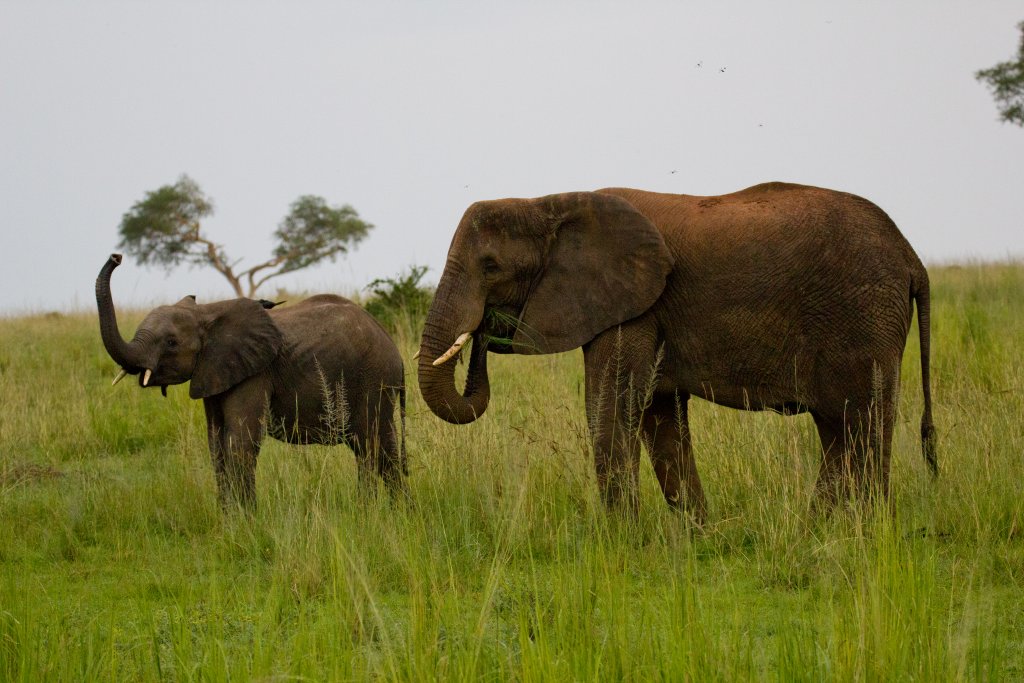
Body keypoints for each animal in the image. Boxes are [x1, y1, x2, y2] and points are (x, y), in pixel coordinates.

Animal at [96, 254, 406, 507]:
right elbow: (216, 444)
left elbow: (240, 441)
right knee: (375, 447)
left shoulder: (255, 372)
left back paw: (376, 512)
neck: (207, 312)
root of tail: (395, 349)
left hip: (373, 379)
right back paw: (392, 511)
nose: (116, 257)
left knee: (373, 443)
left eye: (171, 342)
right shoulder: (213, 371)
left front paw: (246, 523)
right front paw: (228, 522)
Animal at [417, 183, 937, 521]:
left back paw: (863, 528)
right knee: (838, 431)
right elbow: (658, 415)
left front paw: (621, 539)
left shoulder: (634, 305)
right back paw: (821, 526)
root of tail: (913, 258)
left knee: (862, 424)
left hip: (863, 317)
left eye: (490, 266)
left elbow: (612, 407)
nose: (483, 335)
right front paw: (697, 532)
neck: (550, 201)